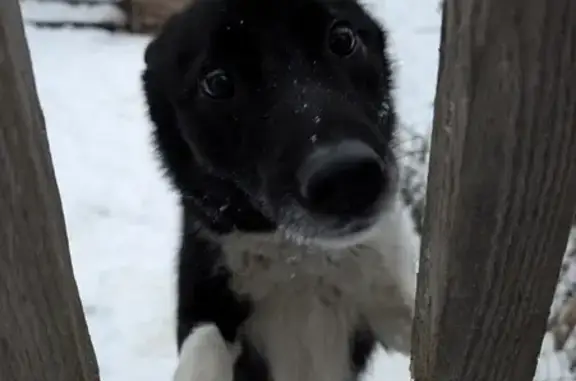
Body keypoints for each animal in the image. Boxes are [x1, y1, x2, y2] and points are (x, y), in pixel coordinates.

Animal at [141, 0, 416, 378]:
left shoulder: (387, 302)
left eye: (342, 38)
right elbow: (204, 345)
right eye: (217, 82)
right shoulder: (206, 299)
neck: (300, 257)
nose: (347, 178)